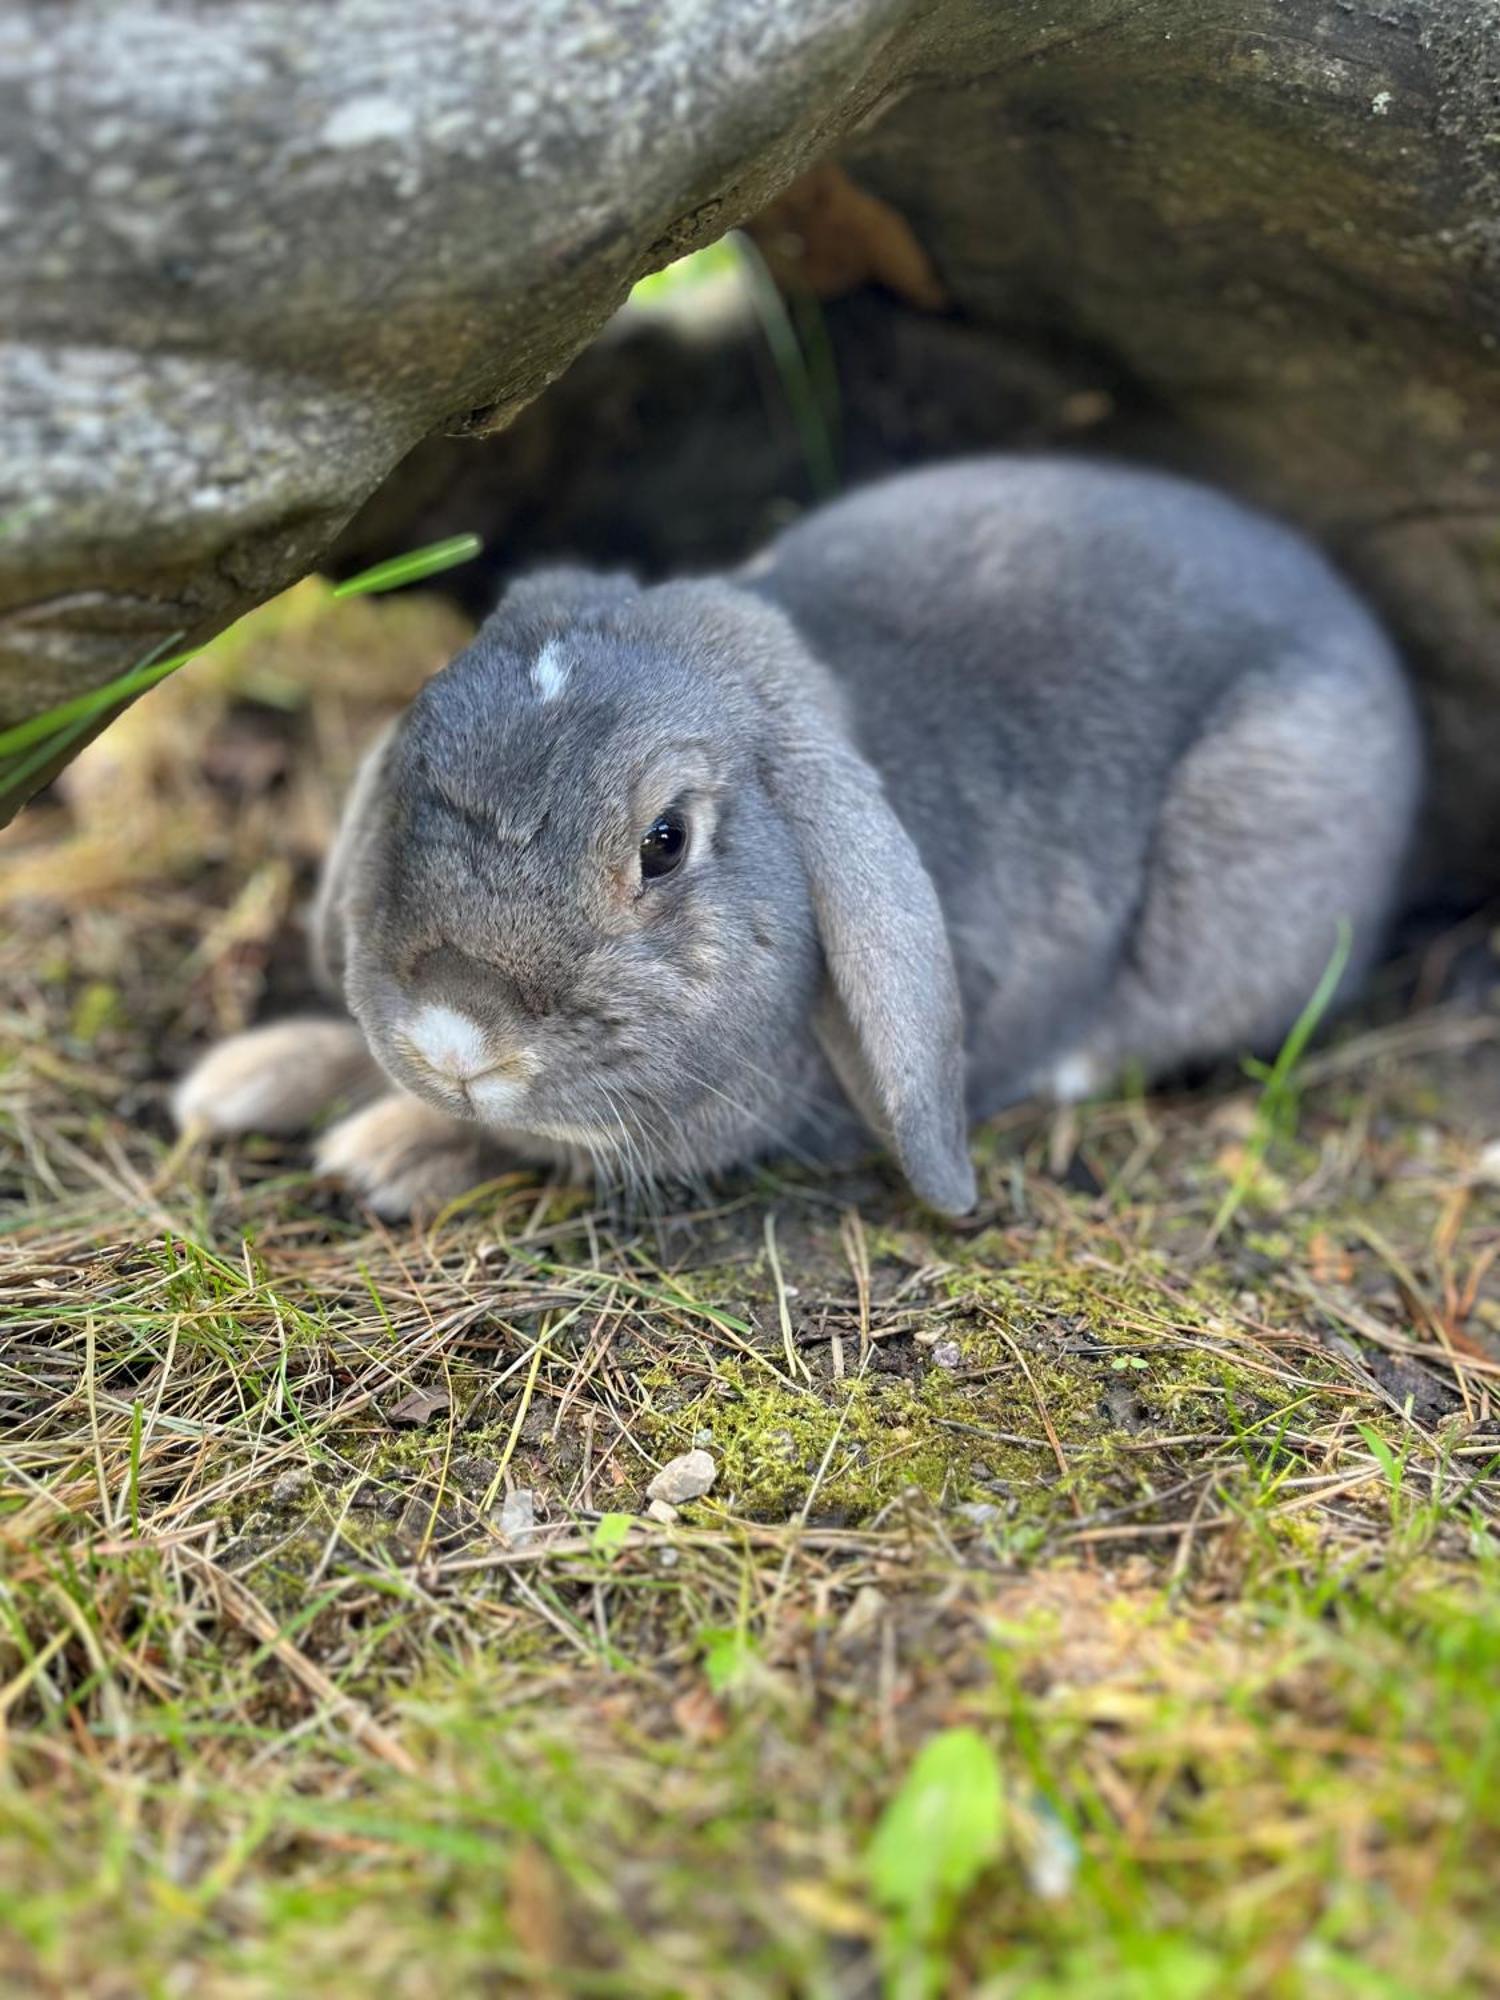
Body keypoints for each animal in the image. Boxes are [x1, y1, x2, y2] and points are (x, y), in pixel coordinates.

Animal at [173, 458, 1424, 1216]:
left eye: (666, 840)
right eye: (415, 768)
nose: (455, 1033)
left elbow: (532, 1139)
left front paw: (384, 1150)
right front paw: (251, 1077)